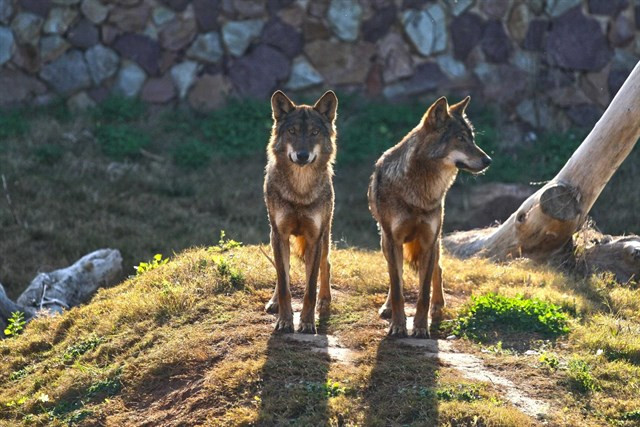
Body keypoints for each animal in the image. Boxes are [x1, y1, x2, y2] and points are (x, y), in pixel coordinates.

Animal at [263, 90, 338, 334]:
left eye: (314, 132)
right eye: (292, 131)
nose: (302, 155)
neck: (300, 191)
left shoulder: (315, 237)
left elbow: (310, 287)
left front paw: (306, 322)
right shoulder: (280, 235)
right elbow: (284, 283)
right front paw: (285, 321)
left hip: (325, 238)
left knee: (326, 264)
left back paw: (324, 300)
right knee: (282, 273)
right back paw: (274, 302)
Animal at [367, 96, 491, 338]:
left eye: (471, 138)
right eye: (460, 138)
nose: (488, 160)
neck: (420, 195)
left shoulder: (428, 241)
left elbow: (423, 293)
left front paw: (420, 327)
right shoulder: (393, 240)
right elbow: (398, 289)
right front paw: (398, 326)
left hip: (436, 242)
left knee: (438, 269)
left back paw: (438, 305)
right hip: (385, 244)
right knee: (396, 276)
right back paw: (387, 307)